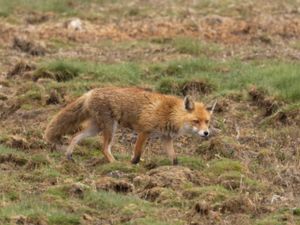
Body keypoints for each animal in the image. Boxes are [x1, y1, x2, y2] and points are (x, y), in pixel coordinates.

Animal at [45, 87, 216, 164]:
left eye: (207, 121)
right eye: (196, 121)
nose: (206, 133)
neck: (170, 113)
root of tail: (91, 91)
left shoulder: (166, 138)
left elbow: (174, 158)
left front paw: (177, 169)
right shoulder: (144, 131)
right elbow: (137, 154)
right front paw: (132, 165)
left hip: (95, 128)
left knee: (75, 136)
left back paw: (69, 155)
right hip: (110, 128)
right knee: (104, 148)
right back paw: (115, 163)